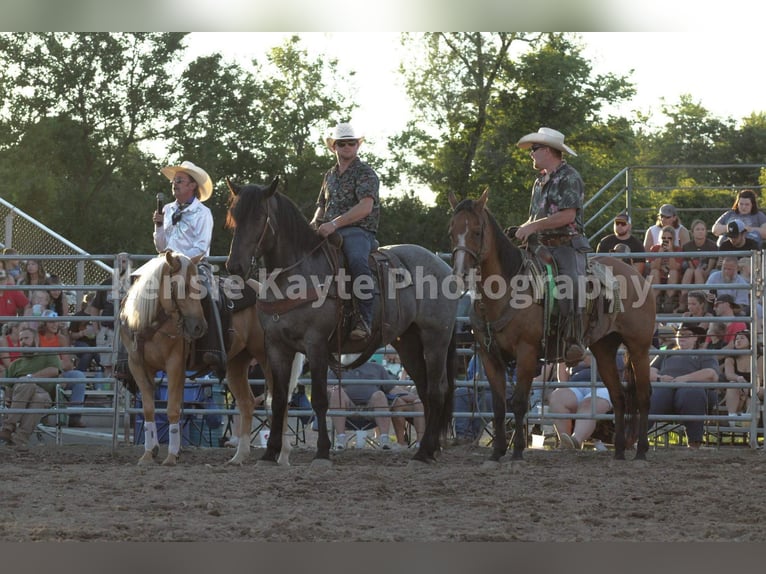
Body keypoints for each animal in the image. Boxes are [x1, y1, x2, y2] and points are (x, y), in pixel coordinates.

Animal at [225, 177, 460, 468]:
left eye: (259, 216)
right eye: (233, 216)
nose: (234, 266)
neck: (295, 275)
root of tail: (443, 266)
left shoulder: (315, 344)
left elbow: (320, 399)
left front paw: (322, 452)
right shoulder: (277, 347)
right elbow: (278, 399)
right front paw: (270, 454)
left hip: (435, 338)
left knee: (437, 390)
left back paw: (423, 452)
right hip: (408, 343)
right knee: (425, 389)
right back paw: (430, 450)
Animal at [448, 191, 656, 466]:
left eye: (477, 231)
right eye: (452, 231)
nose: (460, 274)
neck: (506, 290)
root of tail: (635, 273)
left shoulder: (526, 352)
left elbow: (519, 402)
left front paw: (517, 453)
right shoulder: (488, 355)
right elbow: (499, 406)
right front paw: (496, 452)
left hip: (638, 347)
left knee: (643, 396)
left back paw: (641, 451)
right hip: (604, 348)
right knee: (619, 396)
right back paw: (620, 451)